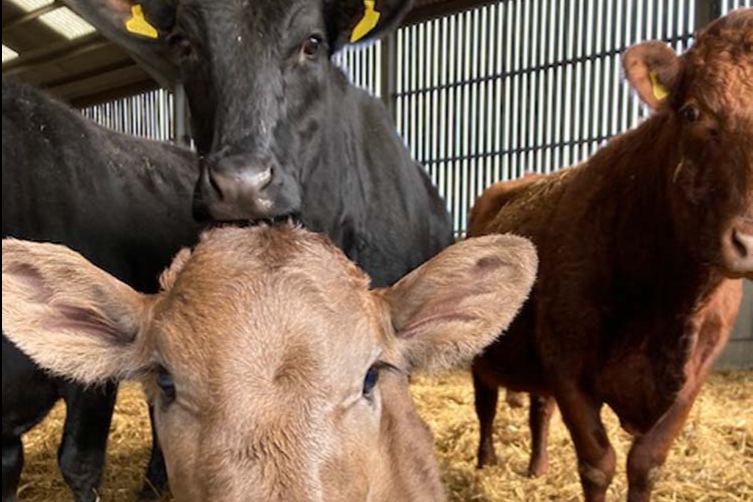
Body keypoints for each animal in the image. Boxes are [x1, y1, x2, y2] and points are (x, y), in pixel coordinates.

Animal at [468, 10, 752, 502]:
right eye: (692, 111)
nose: (749, 240)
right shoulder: (567, 366)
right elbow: (598, 464)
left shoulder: (693, 378)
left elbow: (646, 465)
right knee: (485, 404)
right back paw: (486, 461)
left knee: (538, 409)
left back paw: (538, 467)